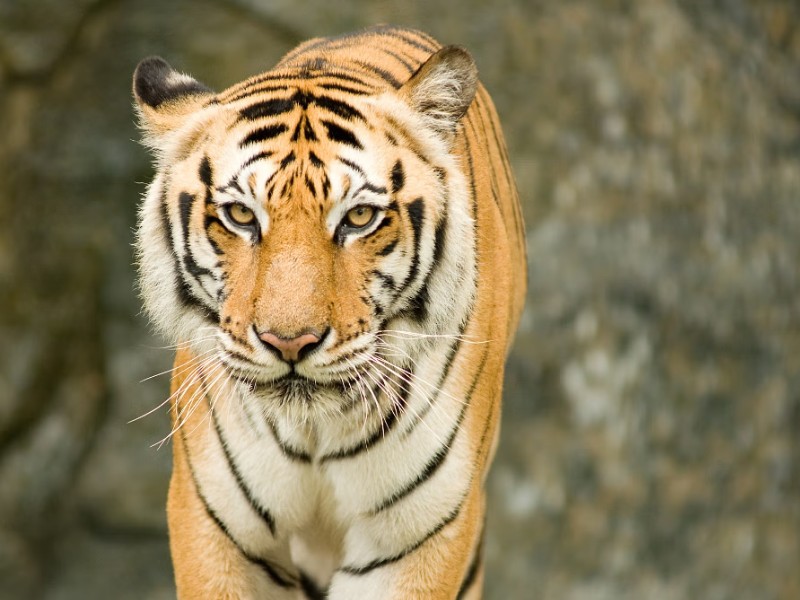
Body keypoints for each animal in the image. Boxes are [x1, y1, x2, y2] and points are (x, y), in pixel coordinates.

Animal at [132, 25, 525, 599]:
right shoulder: (217, 527)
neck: (314, 432)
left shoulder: (416, 537)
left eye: (359, 217)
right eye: (241, 215)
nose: (290, 342)